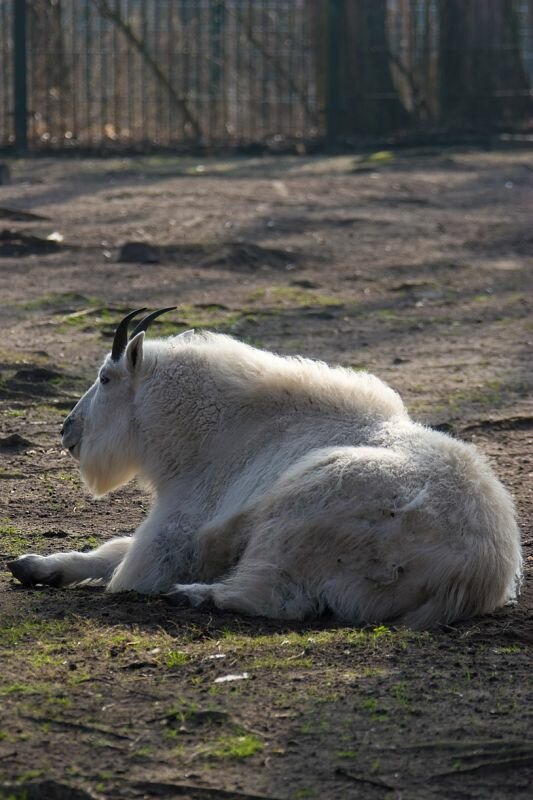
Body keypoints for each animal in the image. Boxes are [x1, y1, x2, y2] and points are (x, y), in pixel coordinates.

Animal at [7, 310, 520, 628]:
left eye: (106, 377)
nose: (68, 431)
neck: (216, 431)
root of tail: (478, 571)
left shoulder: (172, 539)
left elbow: (123, 567)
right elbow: (110, 549)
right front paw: (34, 566)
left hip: (305, 505)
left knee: (275, 597)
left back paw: (193, 595)